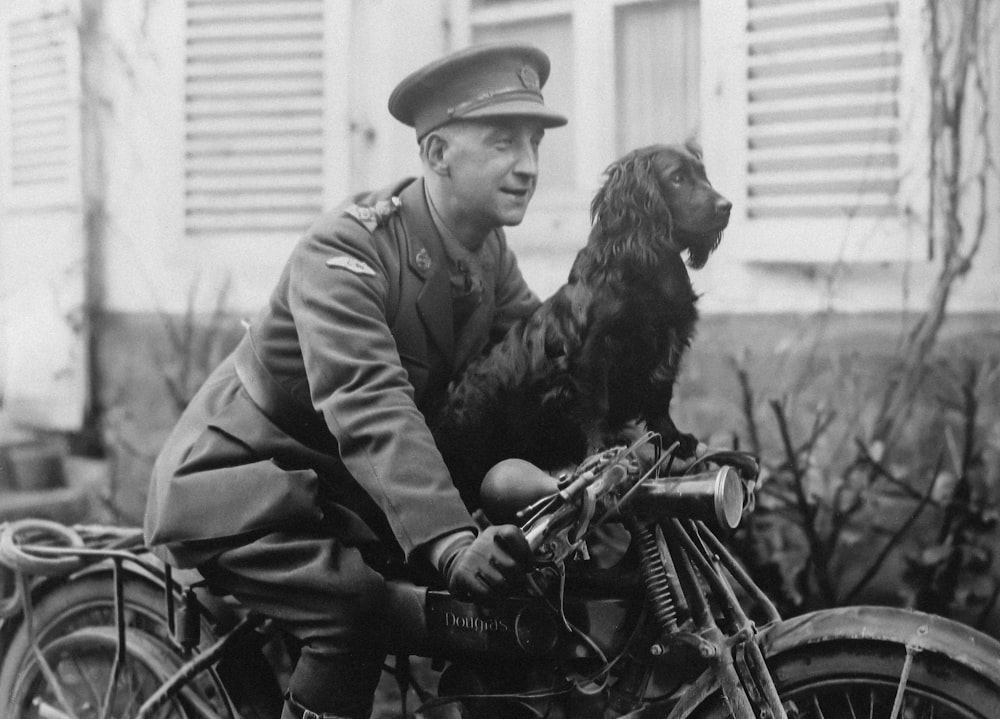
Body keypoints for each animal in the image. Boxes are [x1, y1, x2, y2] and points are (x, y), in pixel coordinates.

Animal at [434, 145, 732, 506]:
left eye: (703, 175)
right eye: (677, 178)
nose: (727, 206)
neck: (647, 269)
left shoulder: (670, 340)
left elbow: (660, 398)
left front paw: (674, 435)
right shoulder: (593, 350)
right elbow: (595, 405)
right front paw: (600, 451)